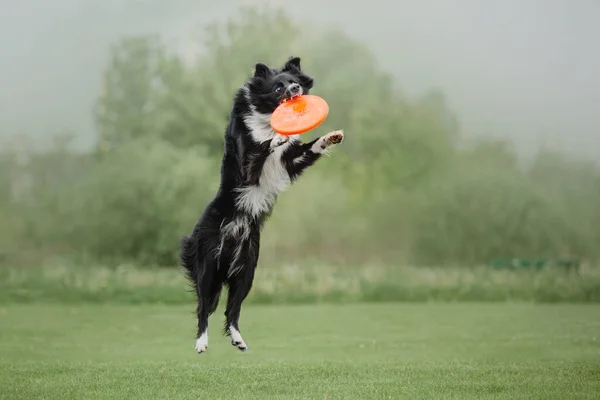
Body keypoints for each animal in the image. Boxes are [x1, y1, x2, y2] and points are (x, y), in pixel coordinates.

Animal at [179, 56, 342, 354]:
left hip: (247, 269)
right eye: (278, 88)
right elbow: (260, 146)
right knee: (203, 307)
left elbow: (311, 148)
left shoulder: (290, 162)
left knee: (231, 310)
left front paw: (332, 136)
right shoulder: (247, 164)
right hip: (208, 263)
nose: (294, 90)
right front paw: (275, 136)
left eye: (296, 82)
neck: (267, 117)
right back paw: (201, 342)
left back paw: (238, 340)